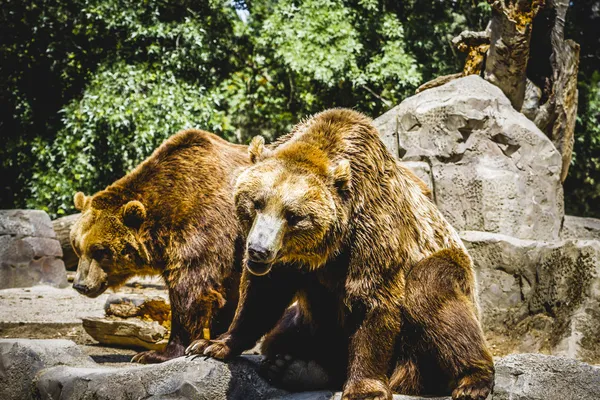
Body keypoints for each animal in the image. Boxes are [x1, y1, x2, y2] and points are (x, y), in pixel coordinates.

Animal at [70, 130, 248, 364]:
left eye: (100, 250)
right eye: (77, 247)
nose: (80, 285)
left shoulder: (205, 227)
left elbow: (190, 289)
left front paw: (156, 353)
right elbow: (227, 294)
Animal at [186, 109, 492, 400]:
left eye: (293, 215)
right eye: (257, 202)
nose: (258, 251)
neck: (326, 248)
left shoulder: (372, 228)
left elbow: (371, 298)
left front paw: (365, 389)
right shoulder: (292, 262)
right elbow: (262, 295)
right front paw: (211, 344)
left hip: (449, 278)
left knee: (432, 291)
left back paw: (473, 381)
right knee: (284, 333)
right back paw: (291, 367)